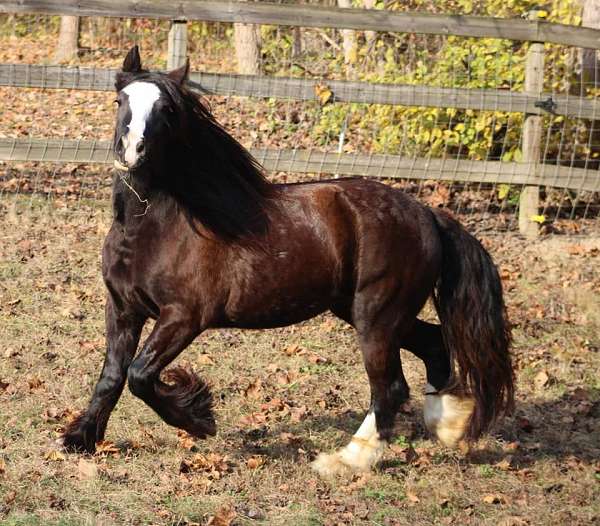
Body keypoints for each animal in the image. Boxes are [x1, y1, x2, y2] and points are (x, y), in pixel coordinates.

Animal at [63, 46, 516, 478]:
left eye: (167, 111)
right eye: (121, 99)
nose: (131, 151)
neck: (157, 228)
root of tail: (426, 214)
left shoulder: (184, 317)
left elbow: (140, 375)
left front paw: (199, 419)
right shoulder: (123, 308)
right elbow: (113, 374)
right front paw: (80, 438)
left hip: (377, 317)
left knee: (390, 387)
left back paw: (345, 460)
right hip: (369, 312)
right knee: (434, 345)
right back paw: (448, 425)